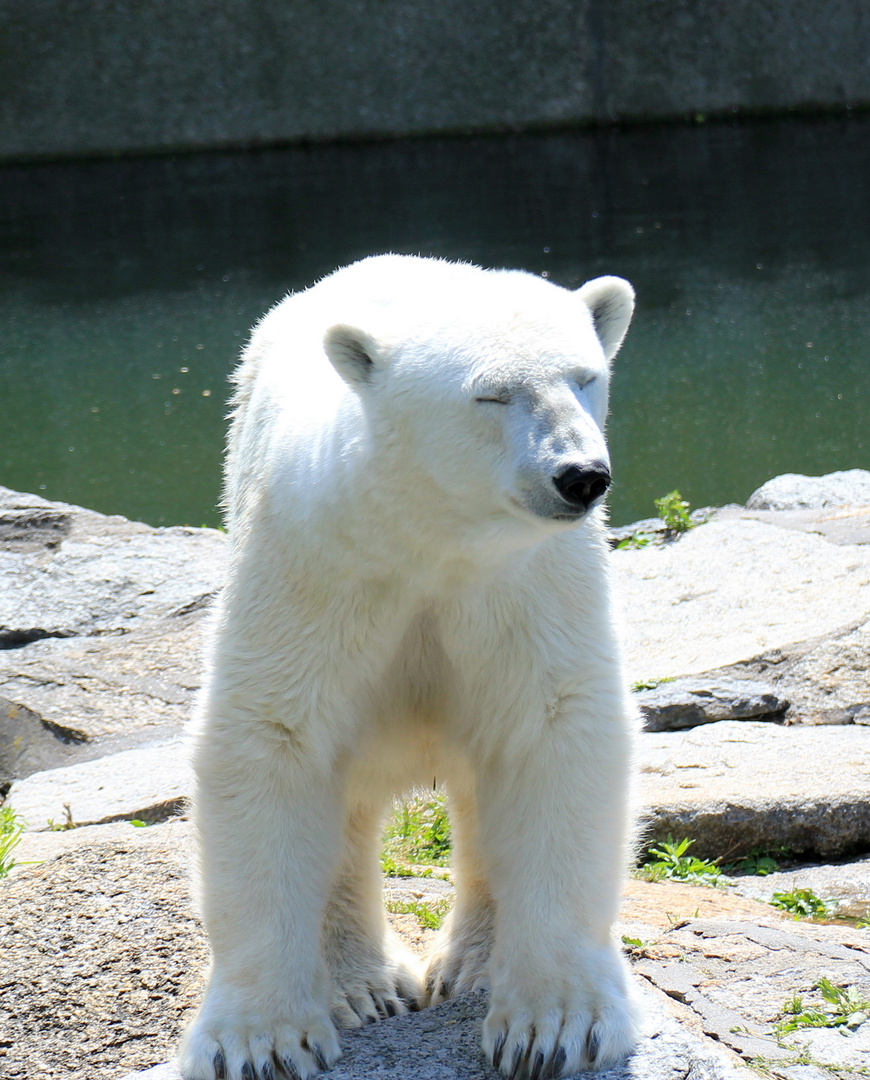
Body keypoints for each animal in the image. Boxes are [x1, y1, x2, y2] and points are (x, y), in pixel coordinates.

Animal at [177, 254, 639, 1080]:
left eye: (586, 377)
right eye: (492, 393)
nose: (581, 475)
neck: (431, 537)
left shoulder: (528, 584)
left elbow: (552, 729)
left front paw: (555, 1026)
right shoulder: (315, 565)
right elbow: (272, 736)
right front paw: (260, 1042)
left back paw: (475, 965)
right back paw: (361, 987)